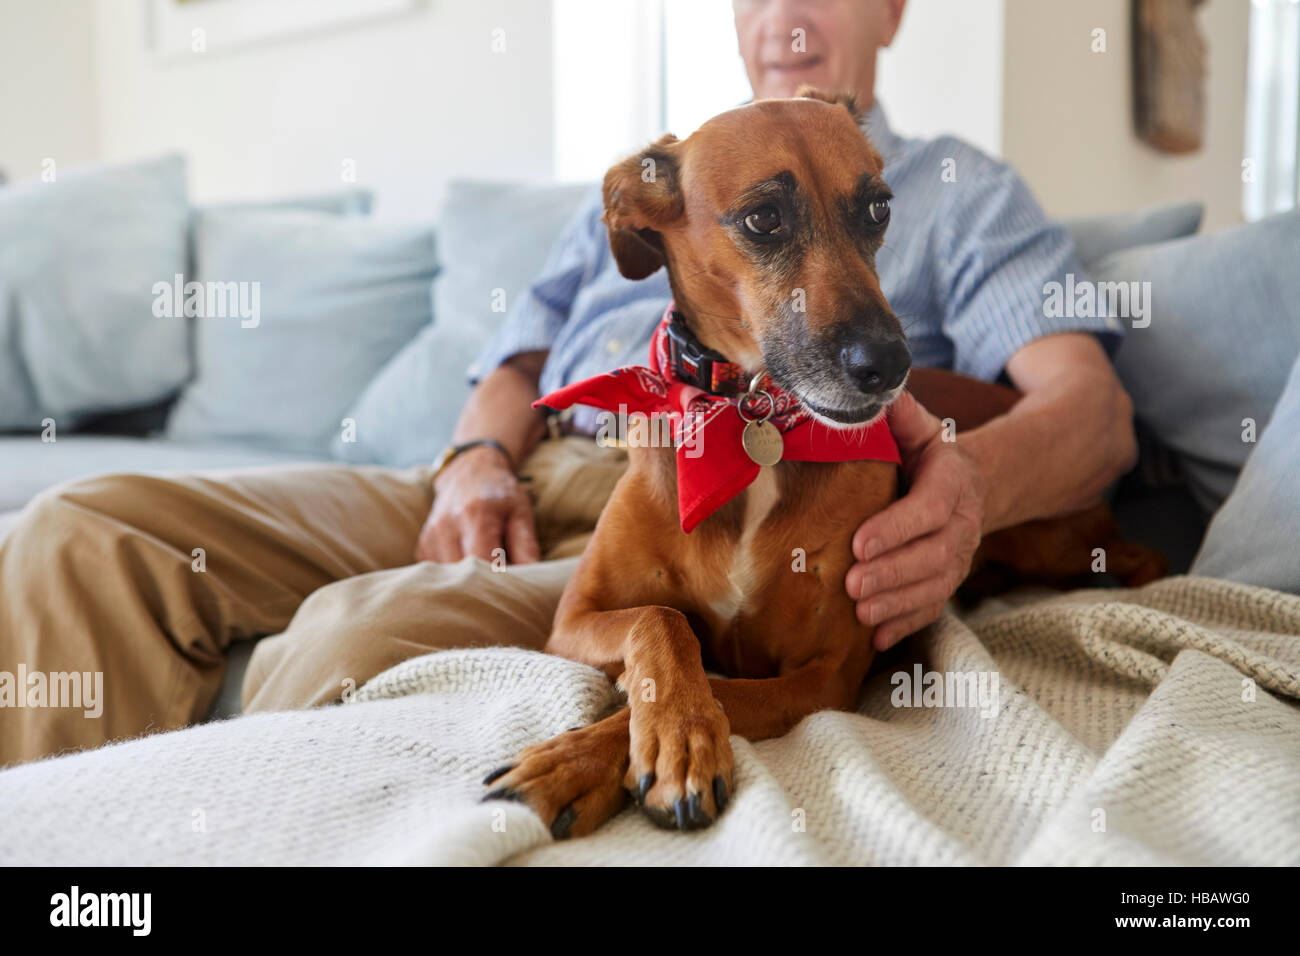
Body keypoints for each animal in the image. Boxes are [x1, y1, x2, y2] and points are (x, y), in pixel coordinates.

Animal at [480, 87, 1170, 837]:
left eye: (878, 208)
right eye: (763, 218)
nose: (889, 366)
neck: (753, 426)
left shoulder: (824, 673)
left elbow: (726, 695)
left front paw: (634, 749)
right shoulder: (572, 620)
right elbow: (661, 618)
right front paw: (642, 738)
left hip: (1057, 539)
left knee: (1143, 555)